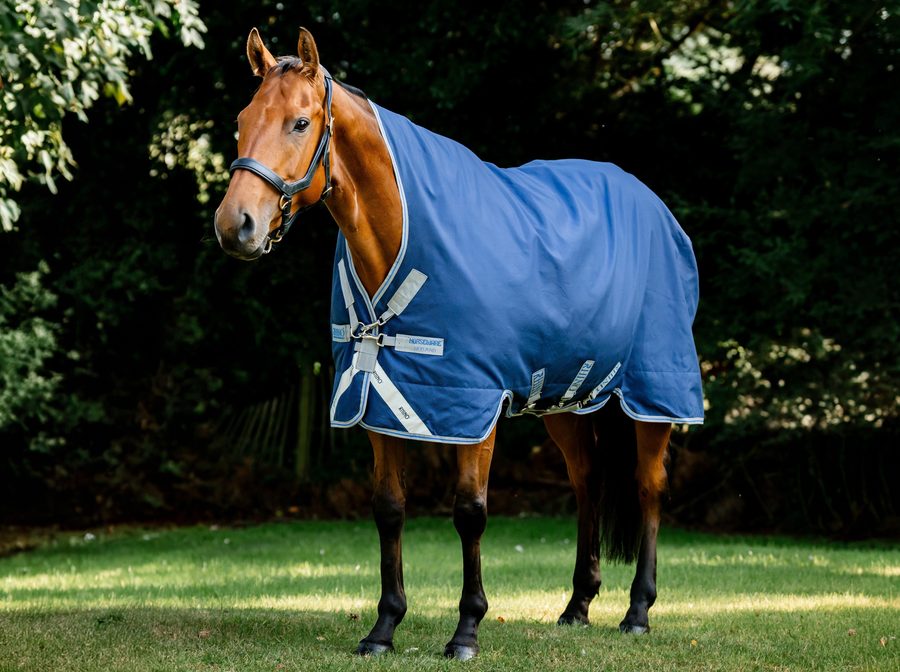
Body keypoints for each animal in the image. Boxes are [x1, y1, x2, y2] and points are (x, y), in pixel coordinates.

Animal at [214, 28, 704, 660]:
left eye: (300, 123)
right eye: (242, 120)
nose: (236, 225)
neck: (402, 232)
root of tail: (653, 203)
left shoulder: (476, 404)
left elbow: (470, 512)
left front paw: (467, 629)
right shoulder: (377, 397)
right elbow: (389, 510)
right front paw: (384, 628)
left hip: (653, 392)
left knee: (648, 487)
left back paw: (638, 610)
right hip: (565, 399)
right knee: (588, 481)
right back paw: (577, 605)